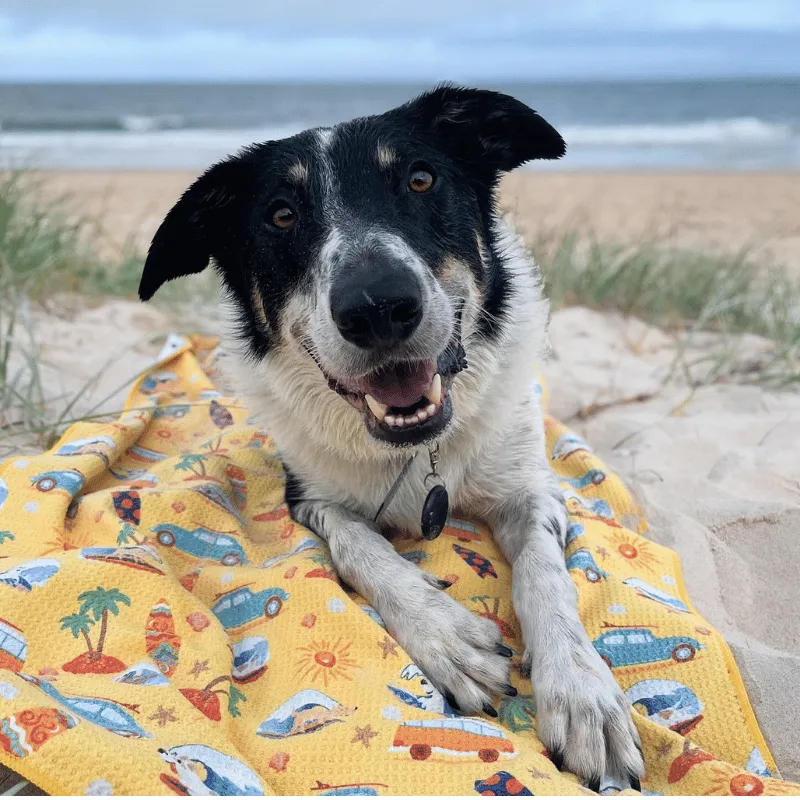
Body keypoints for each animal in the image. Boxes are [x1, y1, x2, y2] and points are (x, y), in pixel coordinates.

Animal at [139, 86, 644, 788]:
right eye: (282, 216)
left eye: (421, 179)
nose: (377, 305)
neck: (414, 448)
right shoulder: (308, 494)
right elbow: (361, 546)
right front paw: (445, 633)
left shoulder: (529, 488)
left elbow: (545, 573)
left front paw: (583, 693)